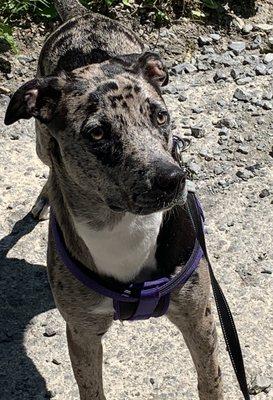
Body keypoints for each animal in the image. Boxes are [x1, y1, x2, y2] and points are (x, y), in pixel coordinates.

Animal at [4, 1, 222, 398]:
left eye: (161, 116)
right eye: (97, 133)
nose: (173, 179)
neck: (122, 225)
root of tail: (82, 14)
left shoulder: (199, 318)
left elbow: (209, 381)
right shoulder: (82, 333)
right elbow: (91, 386)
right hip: (41, 141)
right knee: (48, 162)